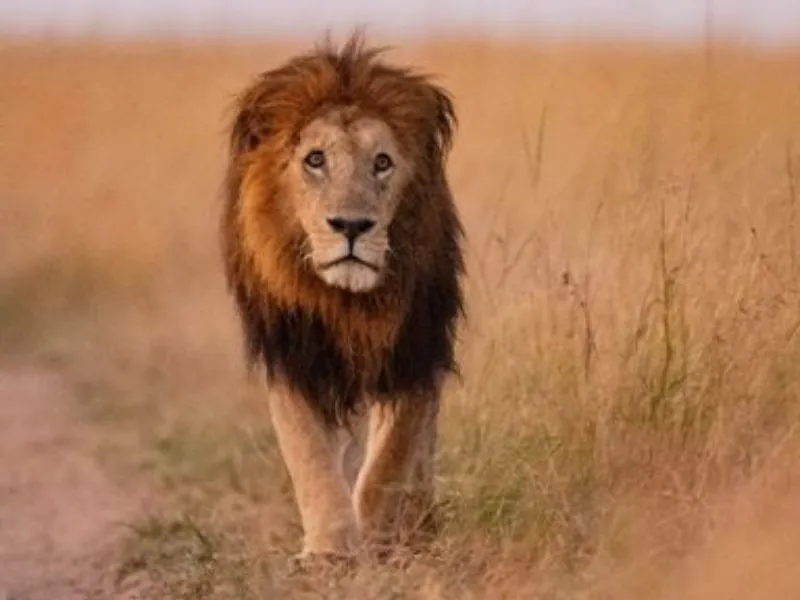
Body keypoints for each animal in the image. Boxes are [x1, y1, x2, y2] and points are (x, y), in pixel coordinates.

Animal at [220, 33, 464, 559]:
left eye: (382, 163)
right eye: (315, 159)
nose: (351, 226)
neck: (347, 303)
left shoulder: (413, 349)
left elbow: (392, 455)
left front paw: (376, 533)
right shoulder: (294, 353)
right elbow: (309, 452)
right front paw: (331, 548)